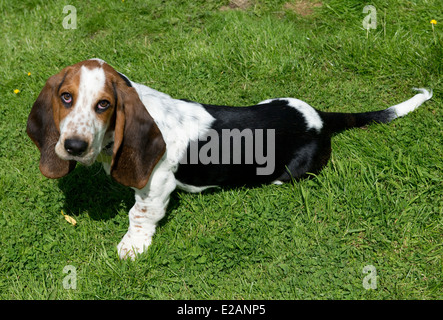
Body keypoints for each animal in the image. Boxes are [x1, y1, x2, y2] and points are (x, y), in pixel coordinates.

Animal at [26, 59, 432, 260]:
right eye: (65, 97)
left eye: (104, 105)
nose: (73, 146)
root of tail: (318, 117)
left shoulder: (156, 185)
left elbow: (138, 215)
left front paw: (131, 247)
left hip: (290, 172)